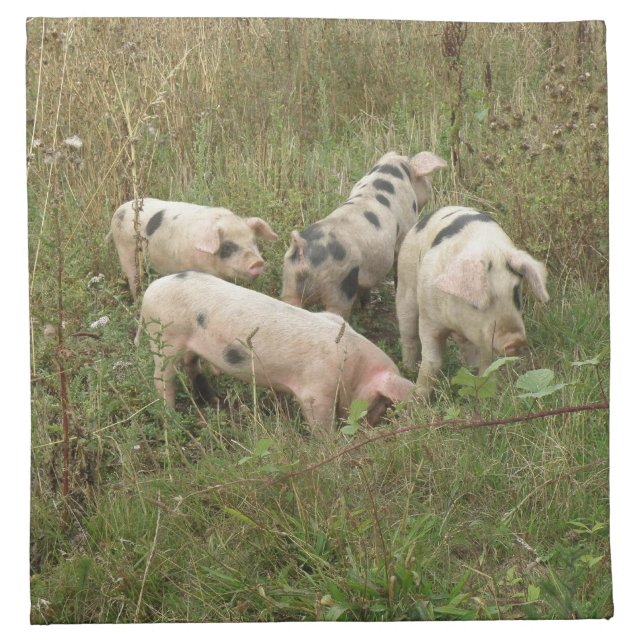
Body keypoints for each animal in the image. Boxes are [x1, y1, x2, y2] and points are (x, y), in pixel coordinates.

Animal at [108, 198, 278, 297]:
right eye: (228, 246)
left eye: (253, 241)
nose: (258, 262)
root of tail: (120, 209)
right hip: (125, 249)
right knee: (132, 276)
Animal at [136, 270, 414, 431]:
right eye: (383, 401)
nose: (372, 426)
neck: (353, 368)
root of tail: (151, 289)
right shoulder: (316, 391)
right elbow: (320, 423)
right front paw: (329, 443)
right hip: (165, 338)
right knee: (163, 378)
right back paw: (171, 417)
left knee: (192, 365)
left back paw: (214, 401)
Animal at [281, 151, 447, 319]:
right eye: (425, 177)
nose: (430, 186)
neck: (390, 171)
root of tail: (302, 246)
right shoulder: (405, 228)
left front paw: (366, 307)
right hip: (339, 285)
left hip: (289, 281)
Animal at [395, 206, 549, 398]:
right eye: (477, 303)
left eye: (515, 294)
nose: (516, 341)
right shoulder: (429, 318)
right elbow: (431, 361)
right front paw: (417, 398)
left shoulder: (483, 336)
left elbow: (487, 365)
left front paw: (485, 395)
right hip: (405, 285)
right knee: (408, 334)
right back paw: (408, 369)